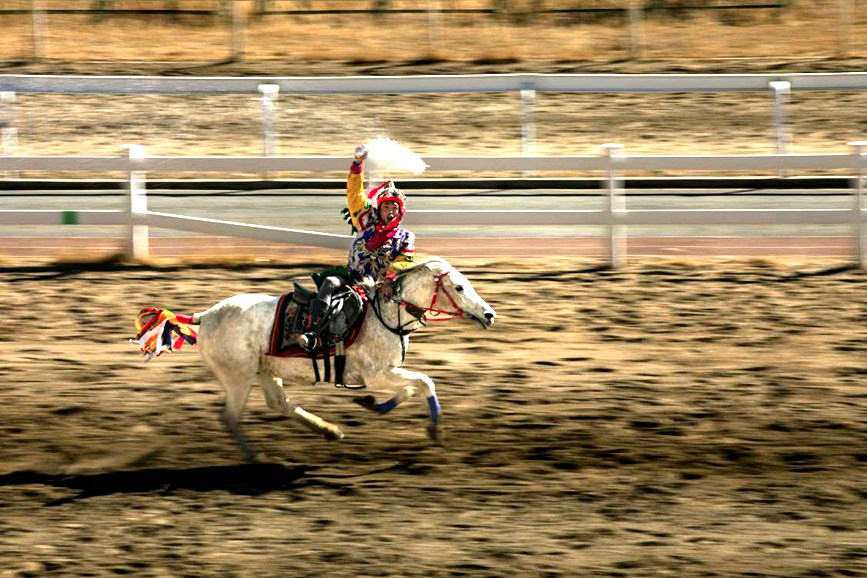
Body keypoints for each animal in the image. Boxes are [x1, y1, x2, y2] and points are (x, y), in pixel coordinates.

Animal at [141, 256, 496, 460]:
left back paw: (329, 431)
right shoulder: (376, 373)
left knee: (280, 404)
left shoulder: (385, 373)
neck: (382, 314)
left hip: (264, 371)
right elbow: (424, 382)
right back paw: (256, 457)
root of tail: (207, 315)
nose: (489, 315)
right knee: (230, 418)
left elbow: (410, 388)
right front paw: (434, 431)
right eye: (459, 287)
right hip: (238, 377)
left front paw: (372, 404)